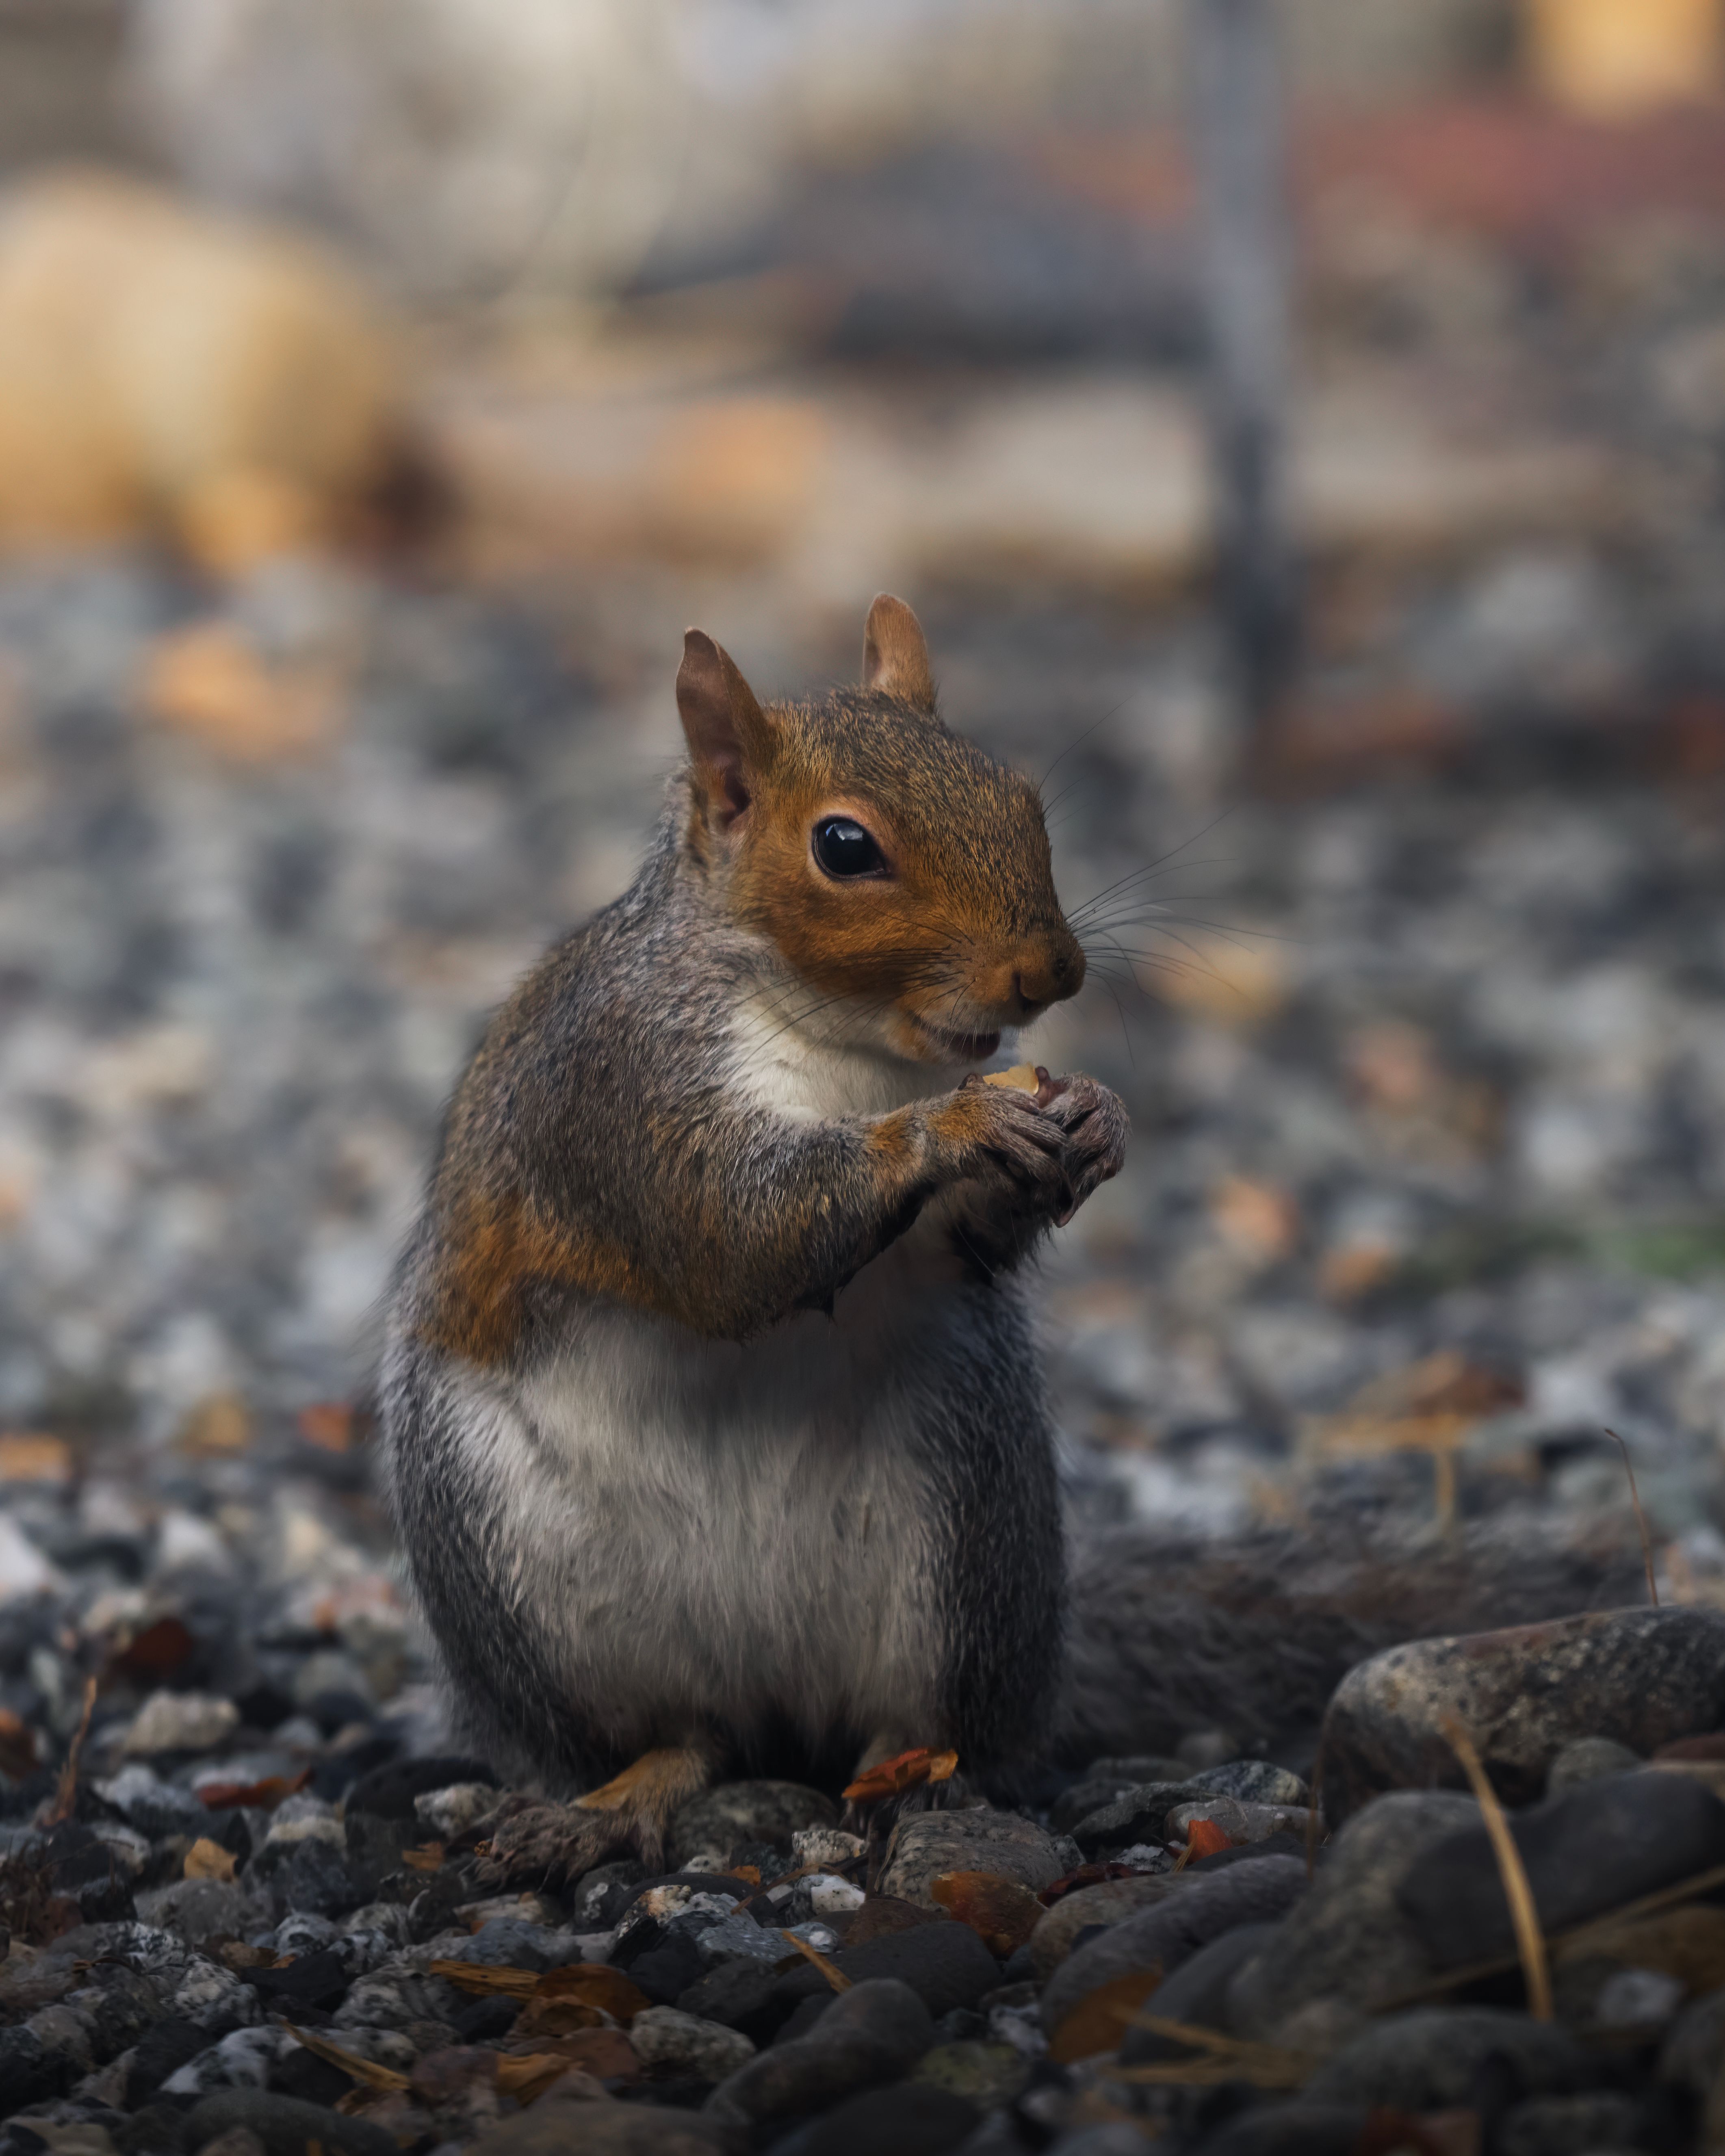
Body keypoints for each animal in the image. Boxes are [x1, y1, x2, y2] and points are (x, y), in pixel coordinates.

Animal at [381, 595, 1641, 1881]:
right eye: (844, 847)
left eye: (1021, 797)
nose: (1054, 972)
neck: (851, 1048)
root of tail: (772, 1687)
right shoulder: (621, 1089)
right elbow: (728, 1238)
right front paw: (955, 1125)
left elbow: (965, 1245)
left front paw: (1091, 1119)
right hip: (520, 1579)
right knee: (683, 1738)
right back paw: (607, 1805)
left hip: (961, 1539)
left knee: (911, 1725)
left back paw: (918, 1790)